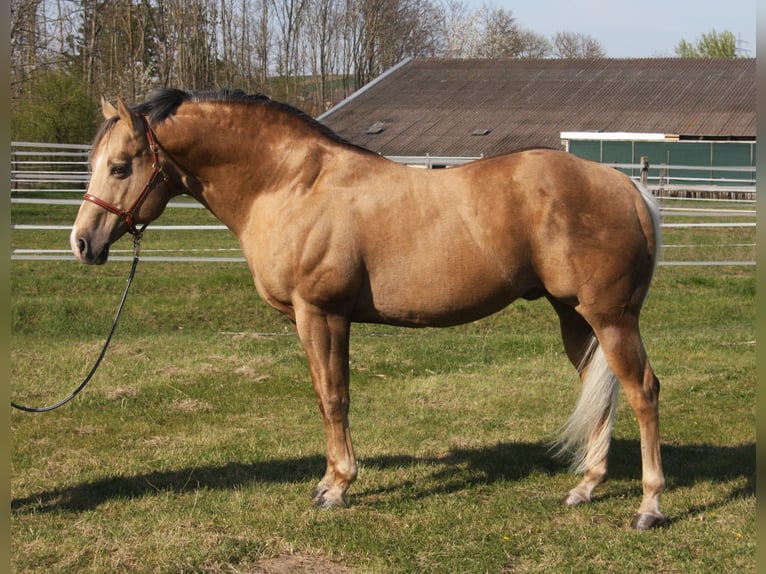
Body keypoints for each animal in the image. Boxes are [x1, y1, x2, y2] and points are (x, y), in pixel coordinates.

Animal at [70, 88, 665, 529]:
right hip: (576, 316)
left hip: (611, 317)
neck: (291, 185)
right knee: (600, 389)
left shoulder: (322, 313)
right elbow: (324, 396)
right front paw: (329, 481)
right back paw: (585, 487)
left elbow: (334, 398)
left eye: (120, 167)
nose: (82, 244)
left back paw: (649, 506)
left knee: (642, 391)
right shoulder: (313, 318)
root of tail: (630, 189)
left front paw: (337, 487)